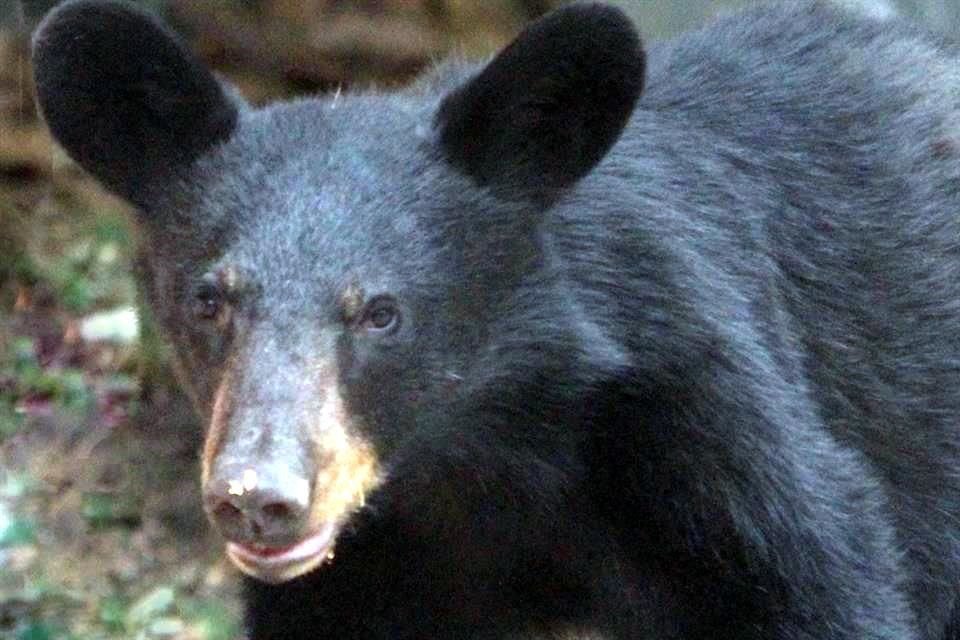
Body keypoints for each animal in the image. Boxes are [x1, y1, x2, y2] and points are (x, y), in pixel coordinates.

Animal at [31, 0, 960, 636]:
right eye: (210, 300)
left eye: (382, 313)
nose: (258, 499)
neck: (479, 452)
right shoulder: (364, 576)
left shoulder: (706, 429)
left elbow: (827, 570)